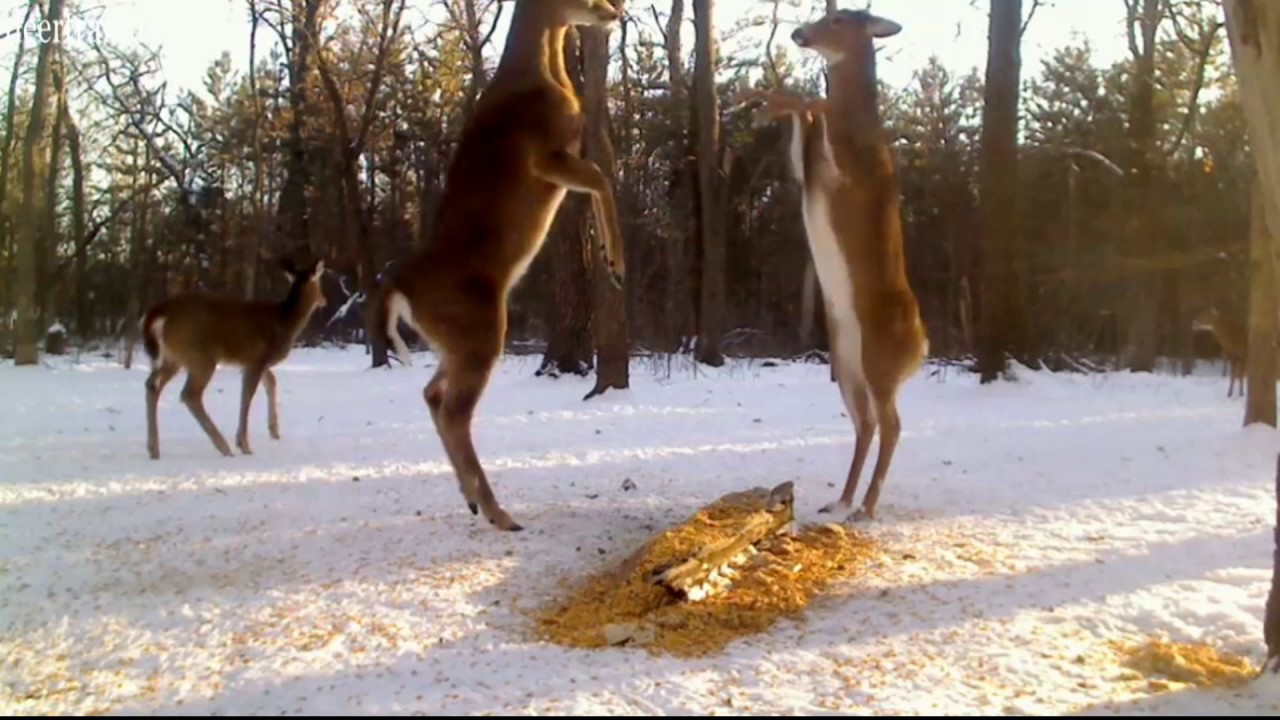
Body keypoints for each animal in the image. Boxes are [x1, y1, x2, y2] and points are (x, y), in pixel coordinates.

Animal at [141, 258, 328, 460]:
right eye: (320, 283)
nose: (324, 300)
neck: (285, 320)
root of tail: (161, 312)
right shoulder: (257, 359)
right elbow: (247, 395)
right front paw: (244, 444)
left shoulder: (253, 361)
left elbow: (270, 381)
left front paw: (274, 430)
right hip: (199, 356)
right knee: (189, 394)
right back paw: (224, 446)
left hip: (173, 357)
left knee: (152, 385)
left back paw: (153, 449)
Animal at [370, 0, 625, 532]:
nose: (615, 11)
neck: (541, 71)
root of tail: (398, 285)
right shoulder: (547, 155)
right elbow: (601, 175)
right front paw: (615, 263)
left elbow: (599, 177)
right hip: (482, 330)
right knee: (453, 411)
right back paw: (499, 512)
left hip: (455, 340)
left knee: (432, 394)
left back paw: (473, 500)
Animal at [740, 8, 927, 523]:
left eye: (840, 19)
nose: (798, 33)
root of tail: (924, 346)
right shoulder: (806, 172)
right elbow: (804, 126)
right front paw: (759, 100)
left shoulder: (848, 166)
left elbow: (817, 105)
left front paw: (766, 99)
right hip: (847, 367)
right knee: (866, 424)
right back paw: (840, 500)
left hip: (880, 361)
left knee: (892, 423)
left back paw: (865, 507)